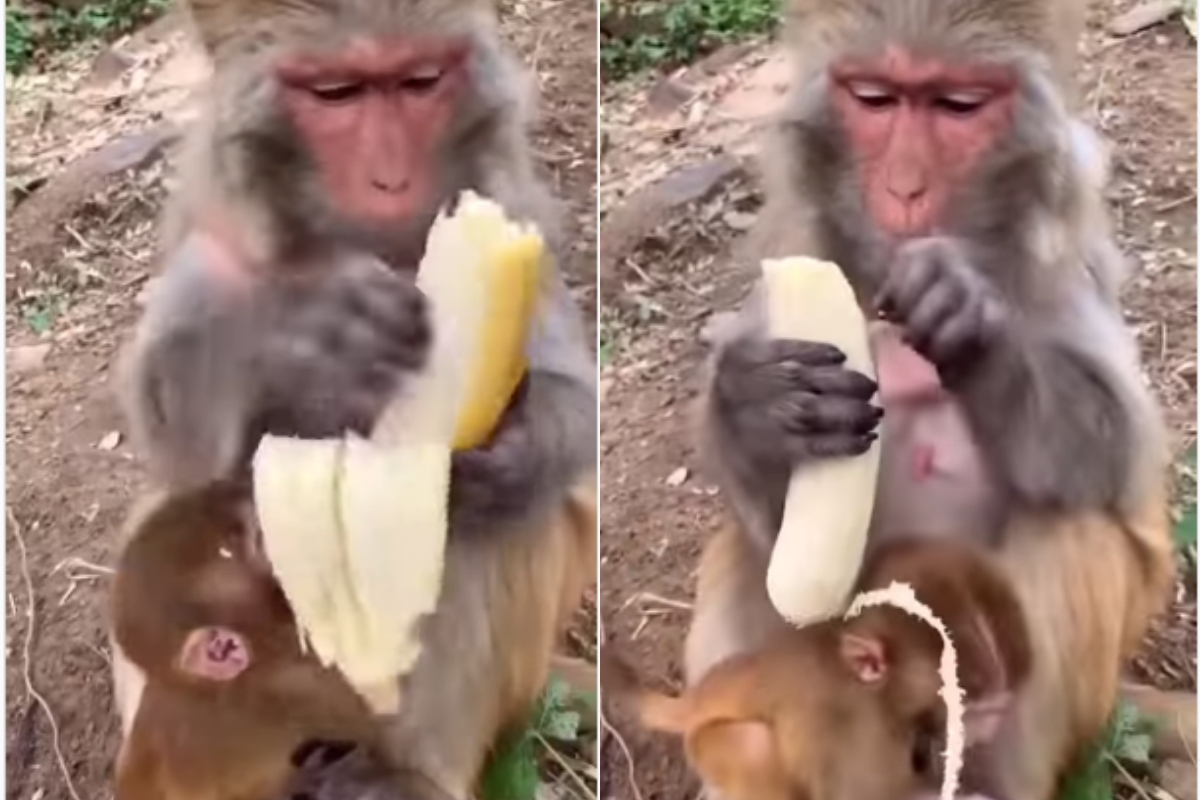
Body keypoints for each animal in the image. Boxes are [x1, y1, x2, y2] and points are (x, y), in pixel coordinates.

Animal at [110, 1, 597, 797]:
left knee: (496, 531)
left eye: (420, 80)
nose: (389, 178)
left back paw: (416, 773)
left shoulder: (515, 208)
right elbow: (176, 455)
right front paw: (296, 332)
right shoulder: (212, 226)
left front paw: (511, 456)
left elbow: (574, 403)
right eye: (335, 93)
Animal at [605, 539, 1034, 800]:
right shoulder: (852, 728)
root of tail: (702, 694)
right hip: (709, 750)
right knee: (756, 747)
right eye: (976, 707)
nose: (993, 726)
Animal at [688, 2, 1180, 799]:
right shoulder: (793, 258)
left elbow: (1120, 454)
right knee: (738, 560)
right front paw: (750, 406)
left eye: (957, 106)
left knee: (1066, 528)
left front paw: (969, 323)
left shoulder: (1064, 255)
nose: (906, 189)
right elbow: (766, 521)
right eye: (876, 99)